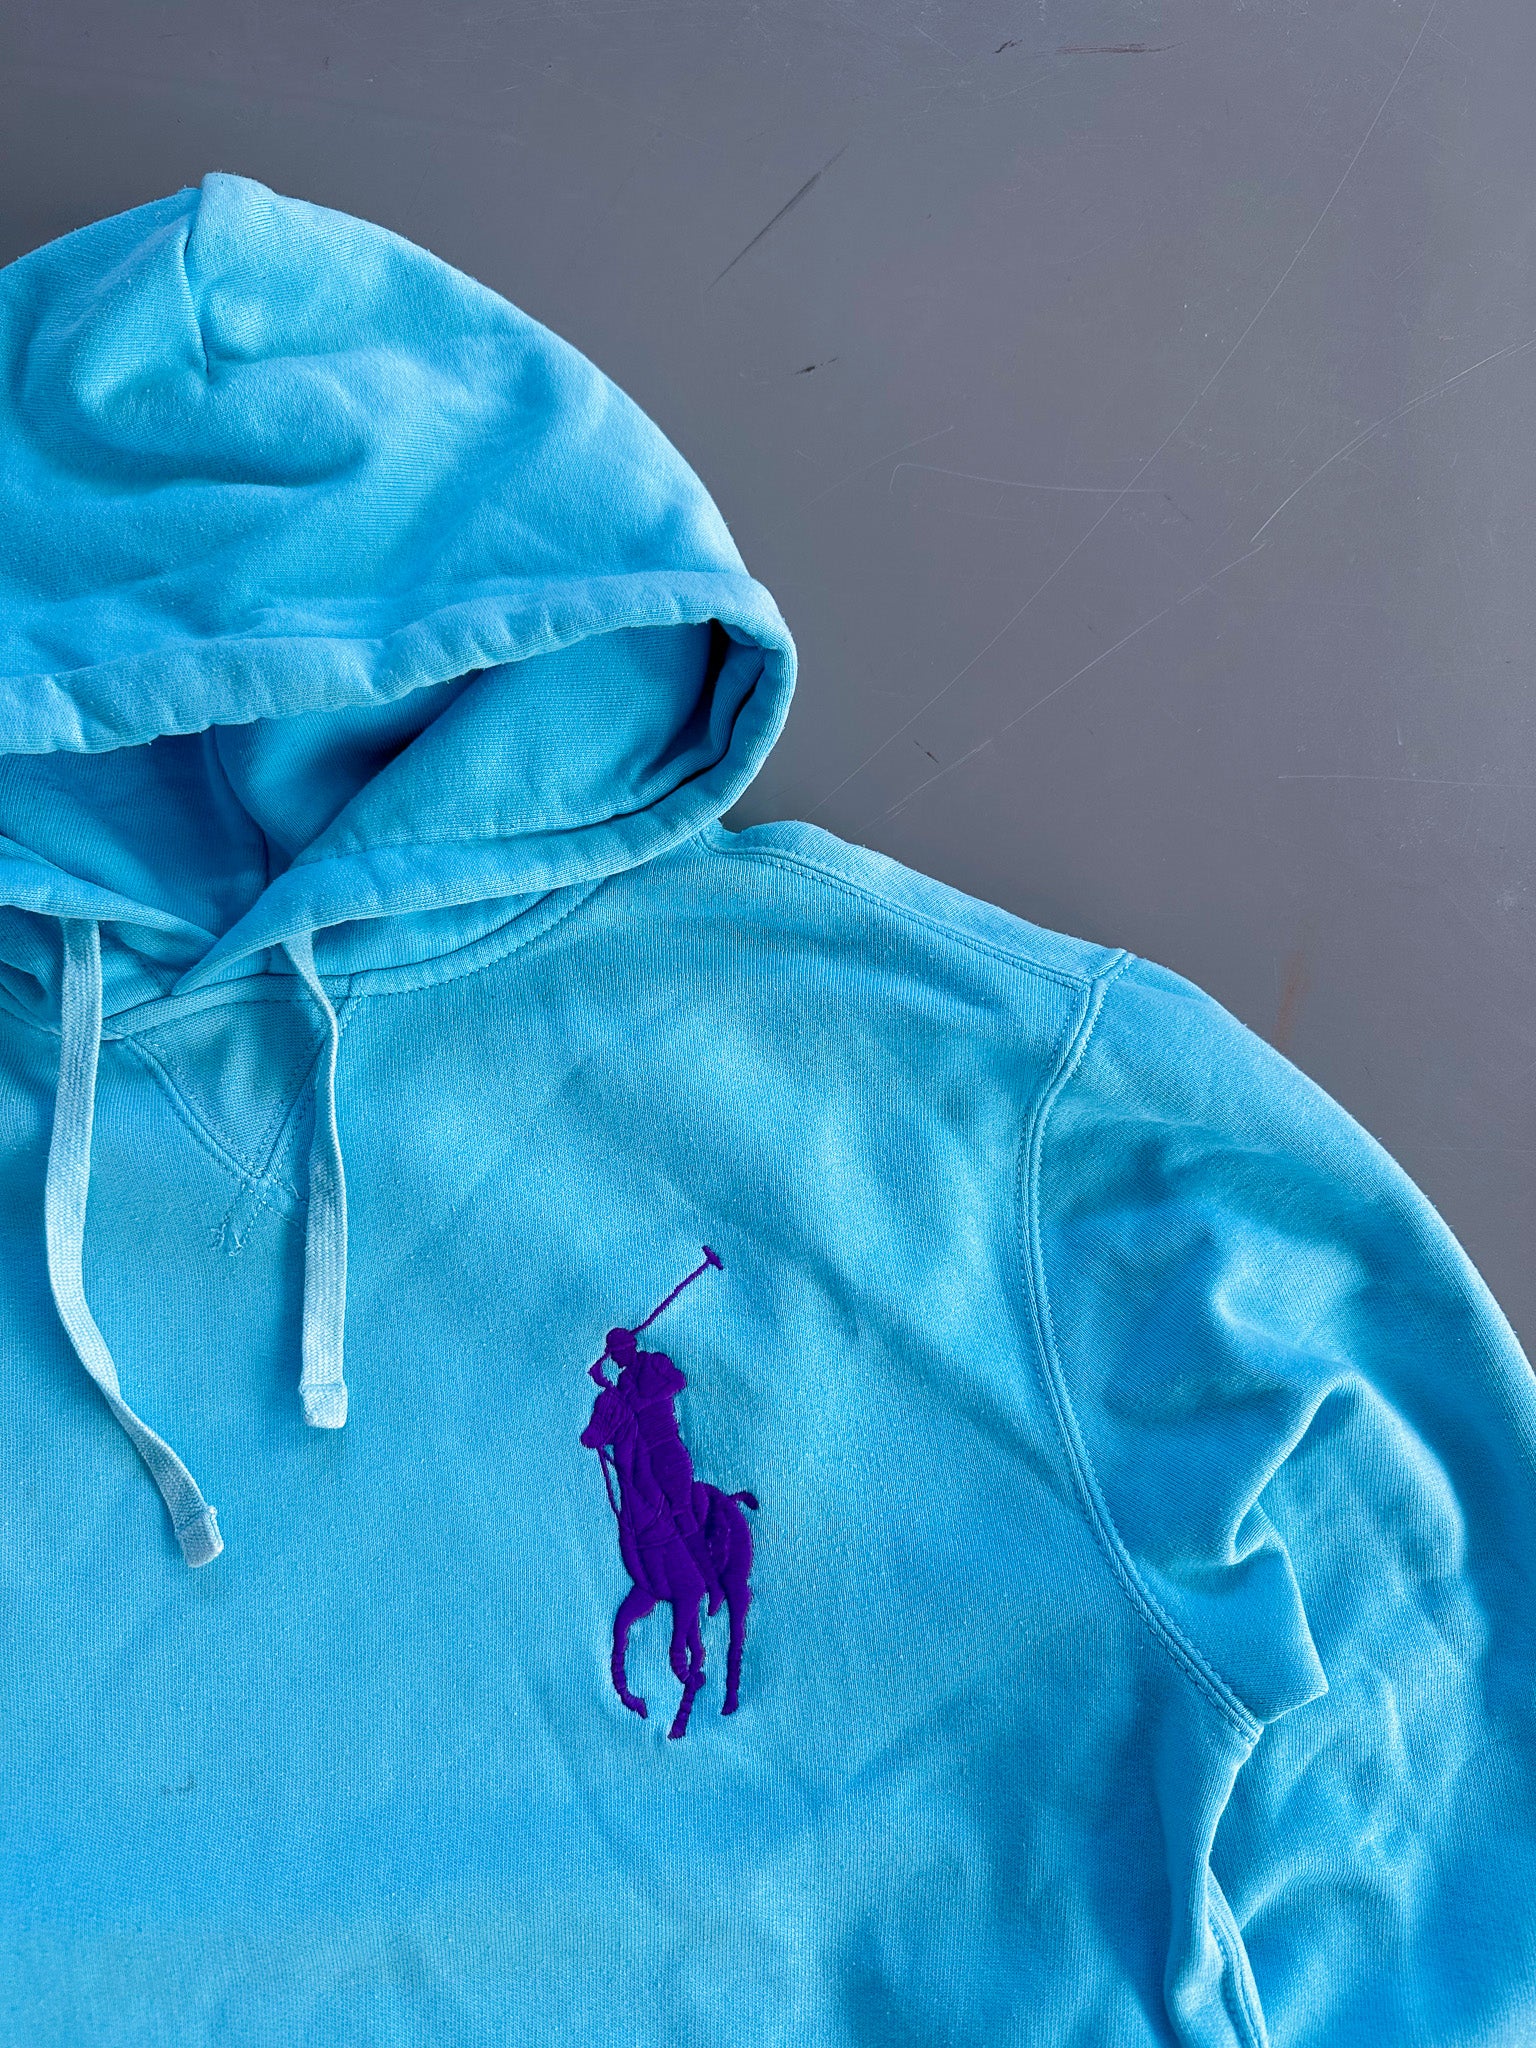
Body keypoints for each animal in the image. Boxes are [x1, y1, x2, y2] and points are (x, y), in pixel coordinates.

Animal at [581, 1330, 756, 1740]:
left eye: (609, 1412)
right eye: (595, 1407)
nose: (586, 1437)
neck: (647, 1513)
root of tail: (731, 1500)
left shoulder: (686, 1594)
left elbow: (680, 1657)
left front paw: (682, 1712)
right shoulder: (649, 1593)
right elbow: (621, 1634)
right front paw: (637, 1702)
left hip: (736, 1581)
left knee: (736, 1629)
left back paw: (729, 1700)